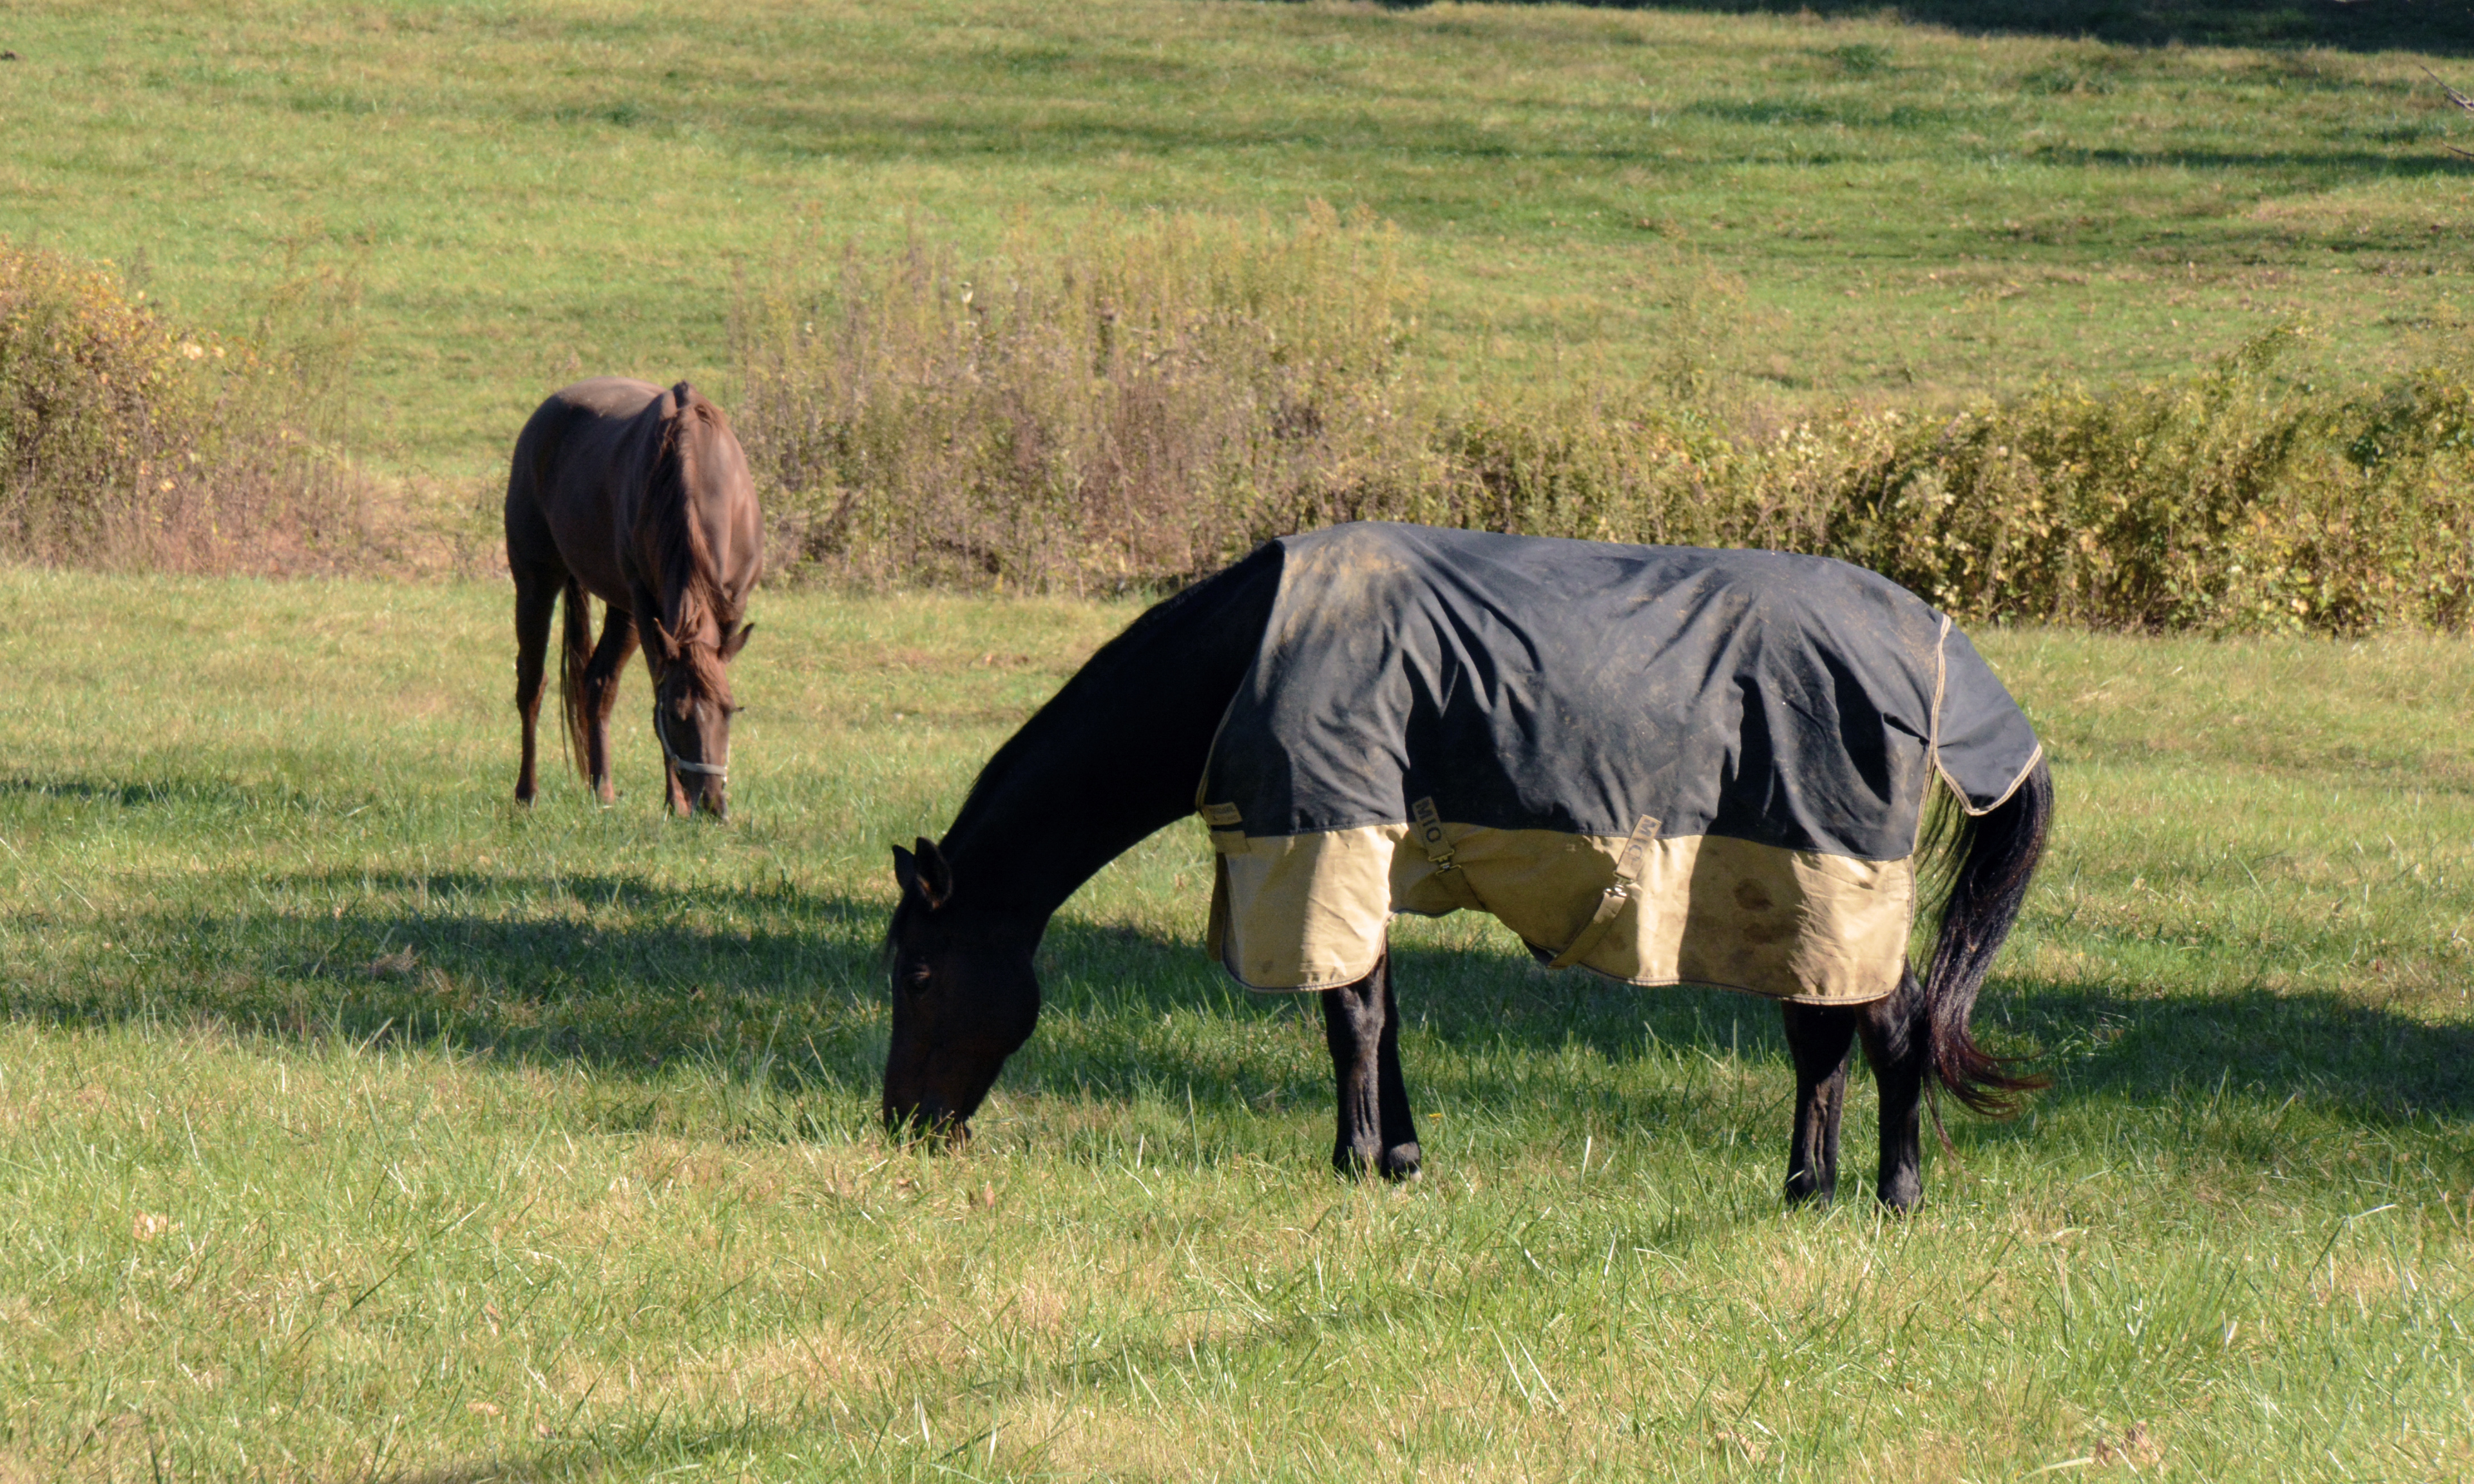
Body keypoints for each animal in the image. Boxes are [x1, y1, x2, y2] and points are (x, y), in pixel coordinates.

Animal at [504, 378, 761, 819]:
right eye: (675, 715)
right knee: (532, 685)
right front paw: (675, 801)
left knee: (597, 682)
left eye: (730, 711)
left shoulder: (730, 605)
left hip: (620, 609)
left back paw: (602, 789)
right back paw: (527, 794)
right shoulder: (647, 606)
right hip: (537, 583)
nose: (712, 804)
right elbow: (658, 687)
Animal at [883, 523, 2054, 1209]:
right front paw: (1398, 1157)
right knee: (1823, 1041)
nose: (904, 1126)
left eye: (921, 974)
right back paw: (1806, 1187)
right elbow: (1380, 1013)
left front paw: (1356, 1162)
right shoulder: (1357, 858)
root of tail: (1932, 647)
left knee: (1891, 1027)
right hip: (1788, 897)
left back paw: (1895, 1194)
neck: (1253, 652)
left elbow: (1351, 1017)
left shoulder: (1327, 844)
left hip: (1834, 878)